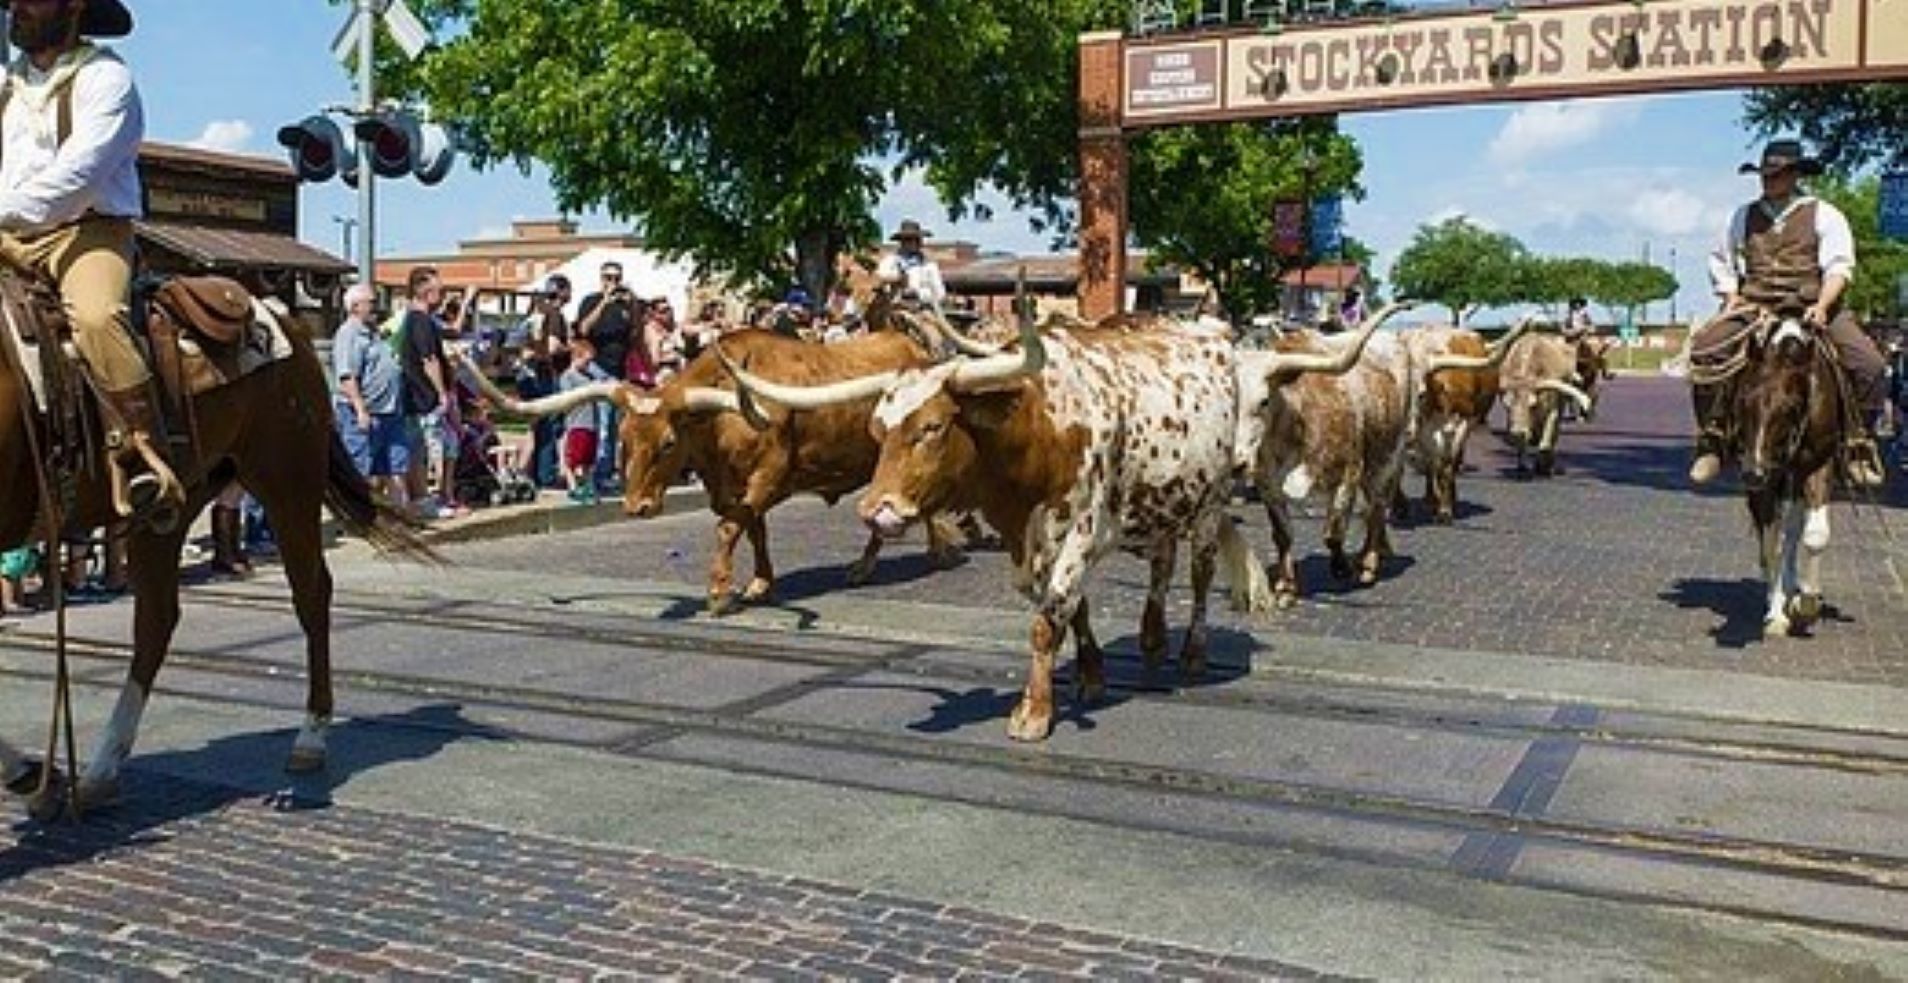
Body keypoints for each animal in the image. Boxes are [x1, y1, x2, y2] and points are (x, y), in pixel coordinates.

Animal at [2, 265, 429, 820]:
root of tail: (281, 318)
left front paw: (29, 773)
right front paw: (29, 773)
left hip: (287, 481)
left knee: (312, 594)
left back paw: (310, 738)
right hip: (170, 511)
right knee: (156, 620)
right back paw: (101, 771)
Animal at [1732, 311, 1846, 641]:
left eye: (1790, 406)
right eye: (1743, 402)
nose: (1753, 473)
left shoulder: (1818, 465)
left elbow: (1814, 535)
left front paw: (1806, 603)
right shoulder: (1769, 479)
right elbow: (1772, 542)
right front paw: (1779, 612)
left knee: (1793, 531)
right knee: (1777, 537)